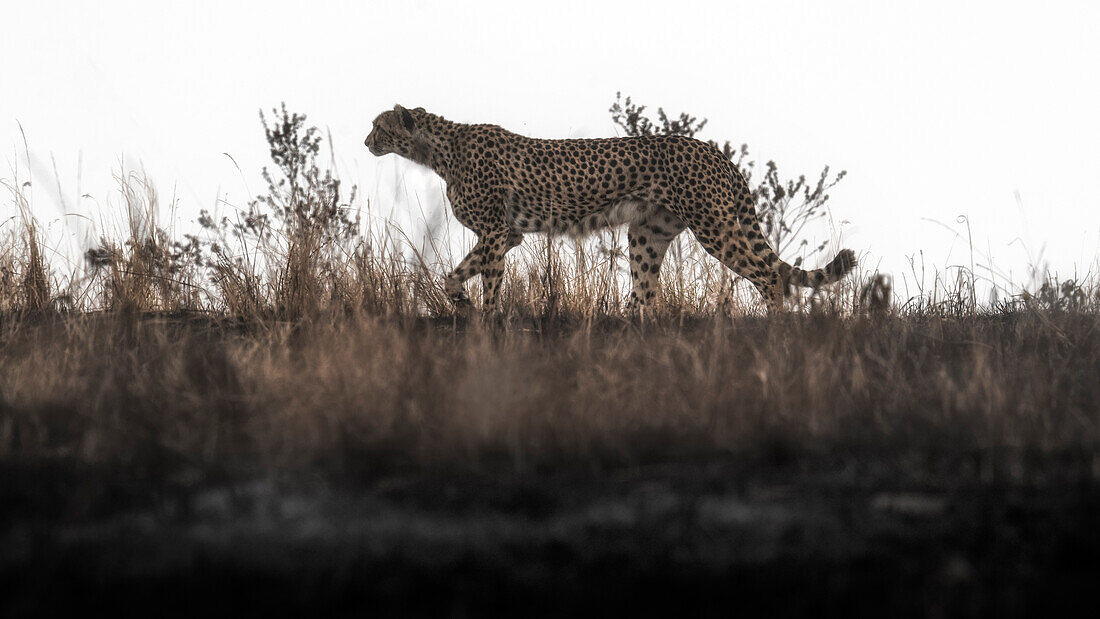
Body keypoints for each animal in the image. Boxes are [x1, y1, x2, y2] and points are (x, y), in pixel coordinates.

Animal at [365, 104, 853, 314]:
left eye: (378, 126)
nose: (366, 141)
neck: (436, 150)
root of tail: (713, 149)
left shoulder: (495, 232)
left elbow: (485, 280)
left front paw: (485, 319)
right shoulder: (507, 234)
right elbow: (454, 275)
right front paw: (463, 303)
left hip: (713, 226)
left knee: (769, 275)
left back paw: (775, 329)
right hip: (646, 234)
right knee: (647, 293)